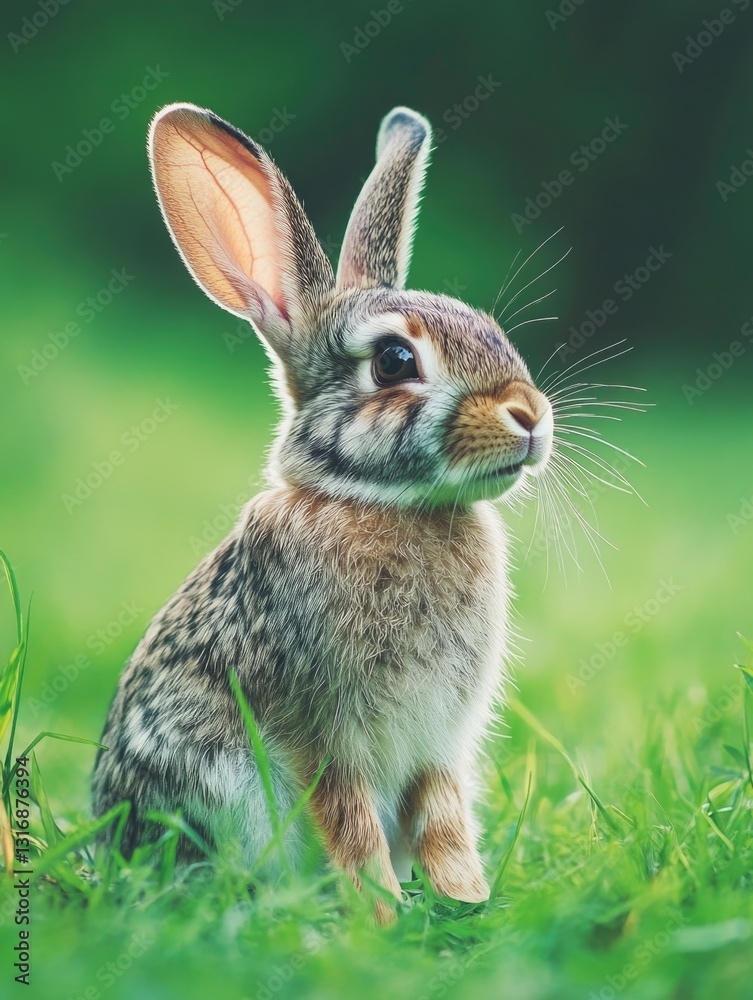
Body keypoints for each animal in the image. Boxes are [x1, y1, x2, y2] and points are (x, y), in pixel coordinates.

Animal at [91, 101, 554, 923]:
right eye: (396, 362)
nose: (530, 416)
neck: (383, 503)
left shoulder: (437, 745)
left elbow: (443, 821)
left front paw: (465, 901)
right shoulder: (326, 735)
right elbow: (351, 820)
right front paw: (382, 913)